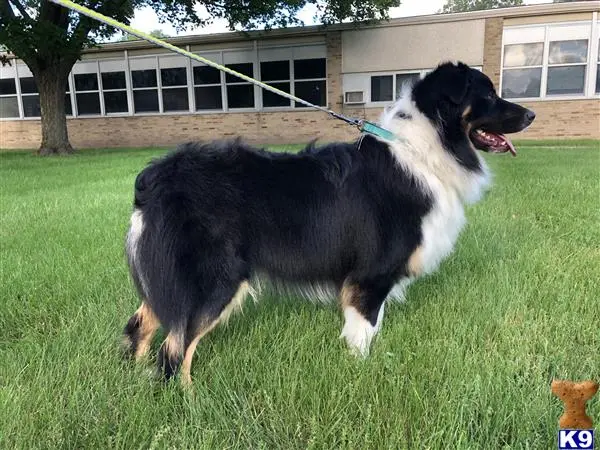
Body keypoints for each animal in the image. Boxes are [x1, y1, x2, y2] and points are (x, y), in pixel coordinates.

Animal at [122, 60, 536, 384]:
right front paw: (362, 375)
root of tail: (154, 179)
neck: (427, 148)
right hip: (214, 280)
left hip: (169, 280)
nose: (532, 115)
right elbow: (363, 335)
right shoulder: (370, 276)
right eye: (487, 95)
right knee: (174, 353)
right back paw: (190, 402)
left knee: (139, 328)